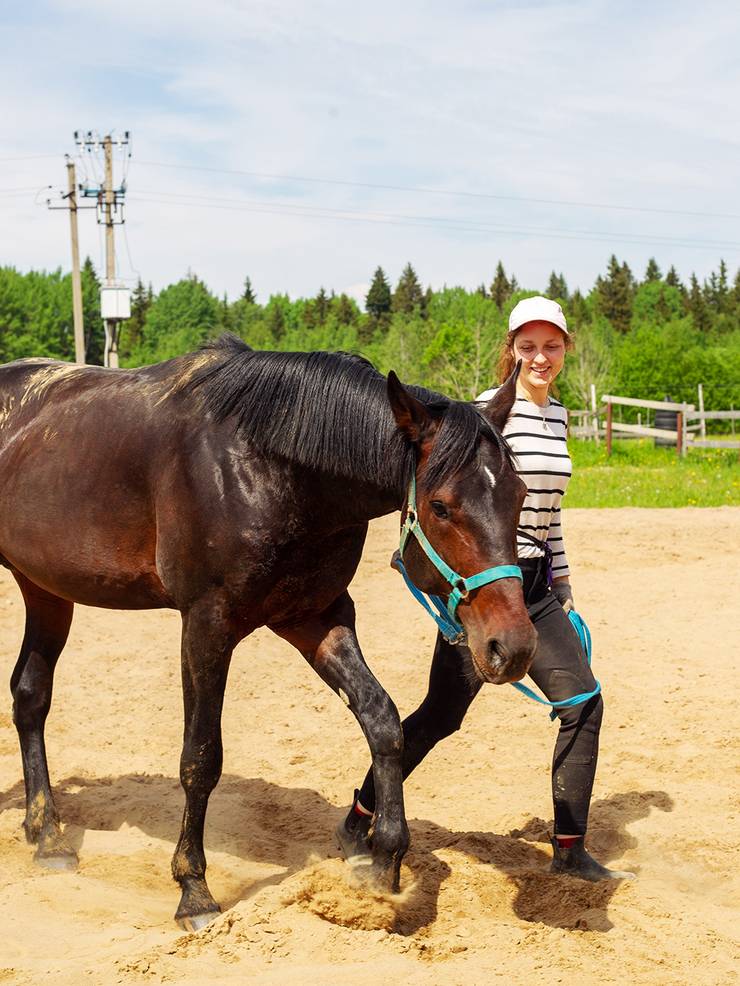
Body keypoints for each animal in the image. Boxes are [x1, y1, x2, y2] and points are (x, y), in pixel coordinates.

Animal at [0, 335, 536, 930]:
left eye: (520, 496)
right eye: (440, 507)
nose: (512, 647)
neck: (273, 466)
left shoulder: (314, 617)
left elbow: (384, 722)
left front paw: (381, 870)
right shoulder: (207, 623)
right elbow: (201, 757)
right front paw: (194, 891)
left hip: (44, 589)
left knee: (30, 696)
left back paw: (47, 836)